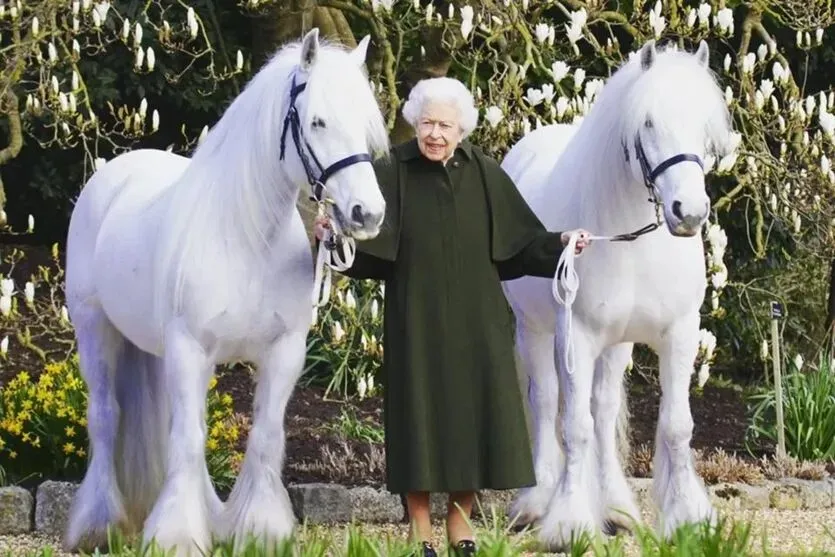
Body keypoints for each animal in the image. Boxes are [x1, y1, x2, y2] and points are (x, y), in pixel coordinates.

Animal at [62, 28, 388, 552]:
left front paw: (260, 531)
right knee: (107, 417)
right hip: (95, 328)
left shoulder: (283, 351)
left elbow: (265, 437)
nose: (368, 214)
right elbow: (188, 440)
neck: (246, 237)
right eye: (317, 121)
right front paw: (176, 537)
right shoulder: (189, 348)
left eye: (364, 125)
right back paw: (98, 525)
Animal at [502, 39, 732, 548]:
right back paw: (538, 501)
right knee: (546, 402)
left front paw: (687, 518)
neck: (633, 240)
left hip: (617, 344)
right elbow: (574, 427)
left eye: (704, 126)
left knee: (604, 411)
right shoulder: (577, 337)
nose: (689, 212)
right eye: (647, 122)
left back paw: (615, 507)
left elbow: (675, 426)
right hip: (534, 331)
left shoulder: (680, 334)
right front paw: (568, 523)